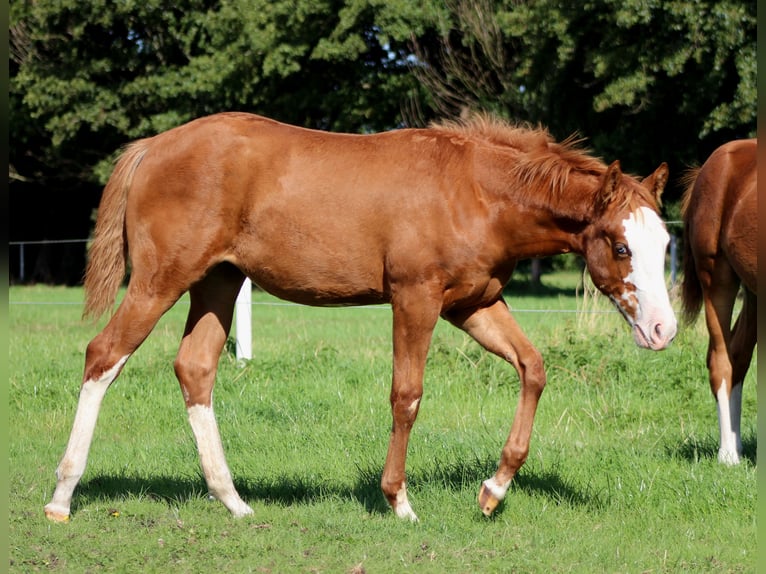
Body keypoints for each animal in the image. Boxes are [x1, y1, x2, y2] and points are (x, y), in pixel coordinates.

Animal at [44, 112, 676, 523]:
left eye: (667, 243)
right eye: (621, 247)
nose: (663, 330)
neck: (474, 190)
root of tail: (153, 146)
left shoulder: (473, 305)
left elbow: (534, 368)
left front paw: (493, 490)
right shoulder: (416, 300)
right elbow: (407, 395)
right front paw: (399, 502)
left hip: (218, 283)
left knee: (195, 369)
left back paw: (234, 501)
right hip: (160, 281)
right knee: (104, 356)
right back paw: (62, 497)